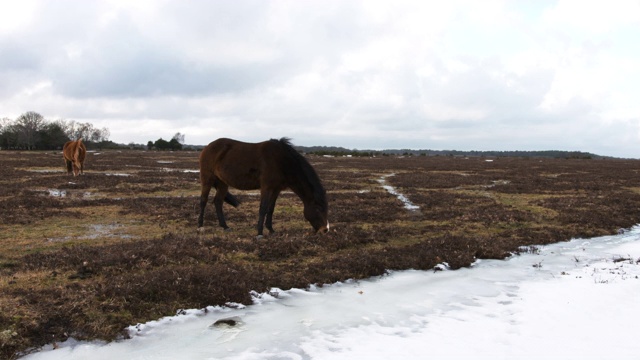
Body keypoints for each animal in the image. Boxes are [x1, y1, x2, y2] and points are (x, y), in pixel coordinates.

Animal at [198, 137, 330, 236]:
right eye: (318, 209)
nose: (325, 229)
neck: (281, 161)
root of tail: (208, 147)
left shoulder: (276, 189)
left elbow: (271, 208)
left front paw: (271, 229)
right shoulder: (266, 188)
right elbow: (263, 208)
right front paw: (260, 233)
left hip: (223, 183)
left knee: (218, 202)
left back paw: (225, 226)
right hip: (207, 179)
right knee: (203, 200)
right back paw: (200, 226)